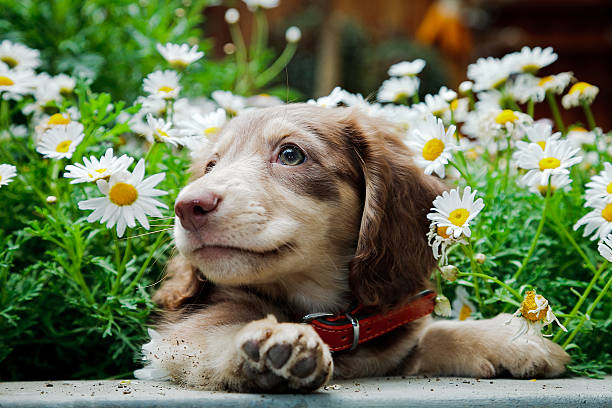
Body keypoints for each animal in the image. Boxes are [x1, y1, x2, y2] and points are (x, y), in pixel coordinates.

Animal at [136, 104, 572, 392]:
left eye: (290, 154)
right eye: (211, 166)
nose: (187, 207)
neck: (325, 314)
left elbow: (434, 332)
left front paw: (511, 339)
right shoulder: (179, 337)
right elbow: (221, 331)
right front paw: (271, 343)